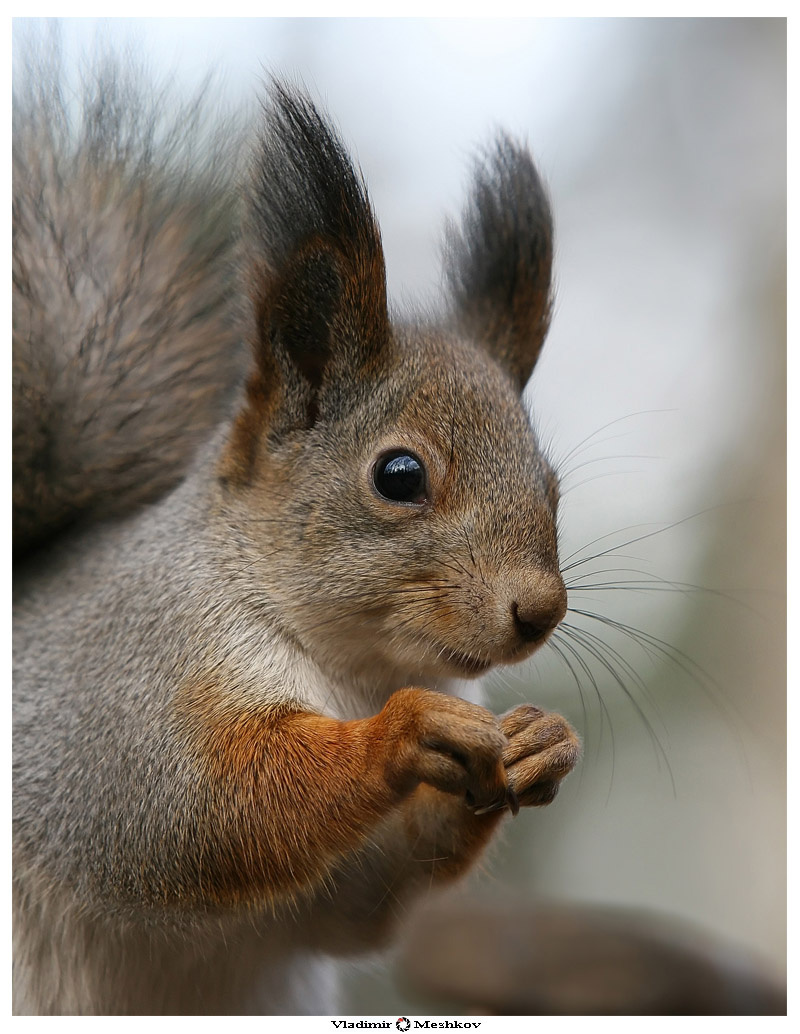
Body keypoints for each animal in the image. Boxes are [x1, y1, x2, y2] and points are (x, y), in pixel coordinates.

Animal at [12, 50, 581, 1016]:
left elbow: (356, 903)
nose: (540, 610)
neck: (357, 668)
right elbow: (202, 811)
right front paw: (402, 733)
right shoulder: (121, 699)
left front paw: (544, 745)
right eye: (399, 476)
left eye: (552, 488)